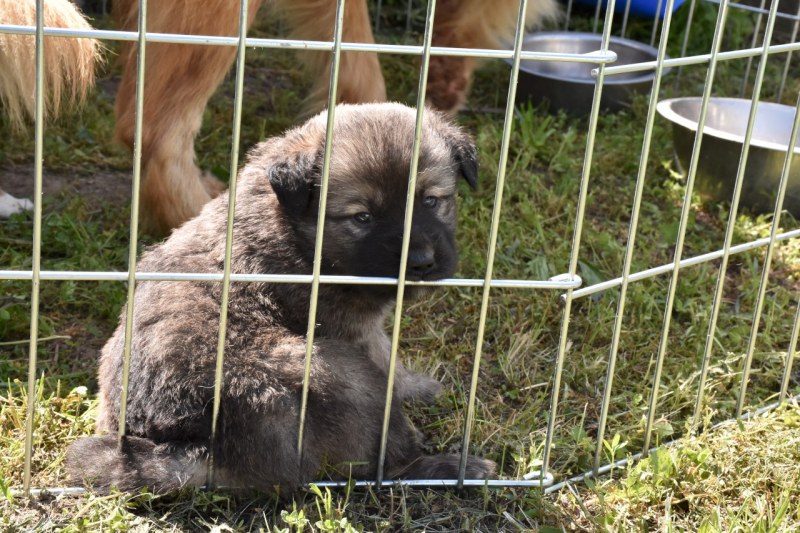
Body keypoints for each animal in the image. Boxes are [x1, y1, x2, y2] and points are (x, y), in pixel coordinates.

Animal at [67, 102, 494, 492]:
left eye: (431, 200)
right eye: (362, 217)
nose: (421, 262)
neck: (297, 231)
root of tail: (200, 447)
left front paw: (418, 386)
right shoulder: (352, 332)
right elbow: (385, 359)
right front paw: (412, 389)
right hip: (337, 374)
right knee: (384, 463)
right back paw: (446, 468)